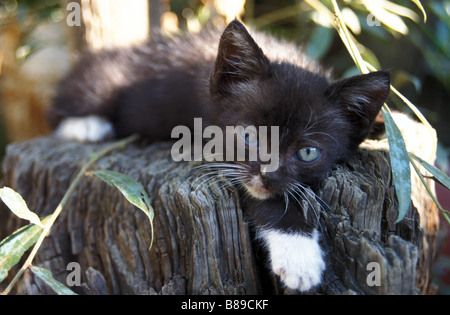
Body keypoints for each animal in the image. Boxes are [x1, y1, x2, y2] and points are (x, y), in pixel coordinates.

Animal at [47, 20, 388, 294]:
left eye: (307, 152)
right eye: (249, 137)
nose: (267, 175)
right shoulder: (216, 147)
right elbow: (265, 199)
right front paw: (299, 255)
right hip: (108, 78)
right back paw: (87, 125)